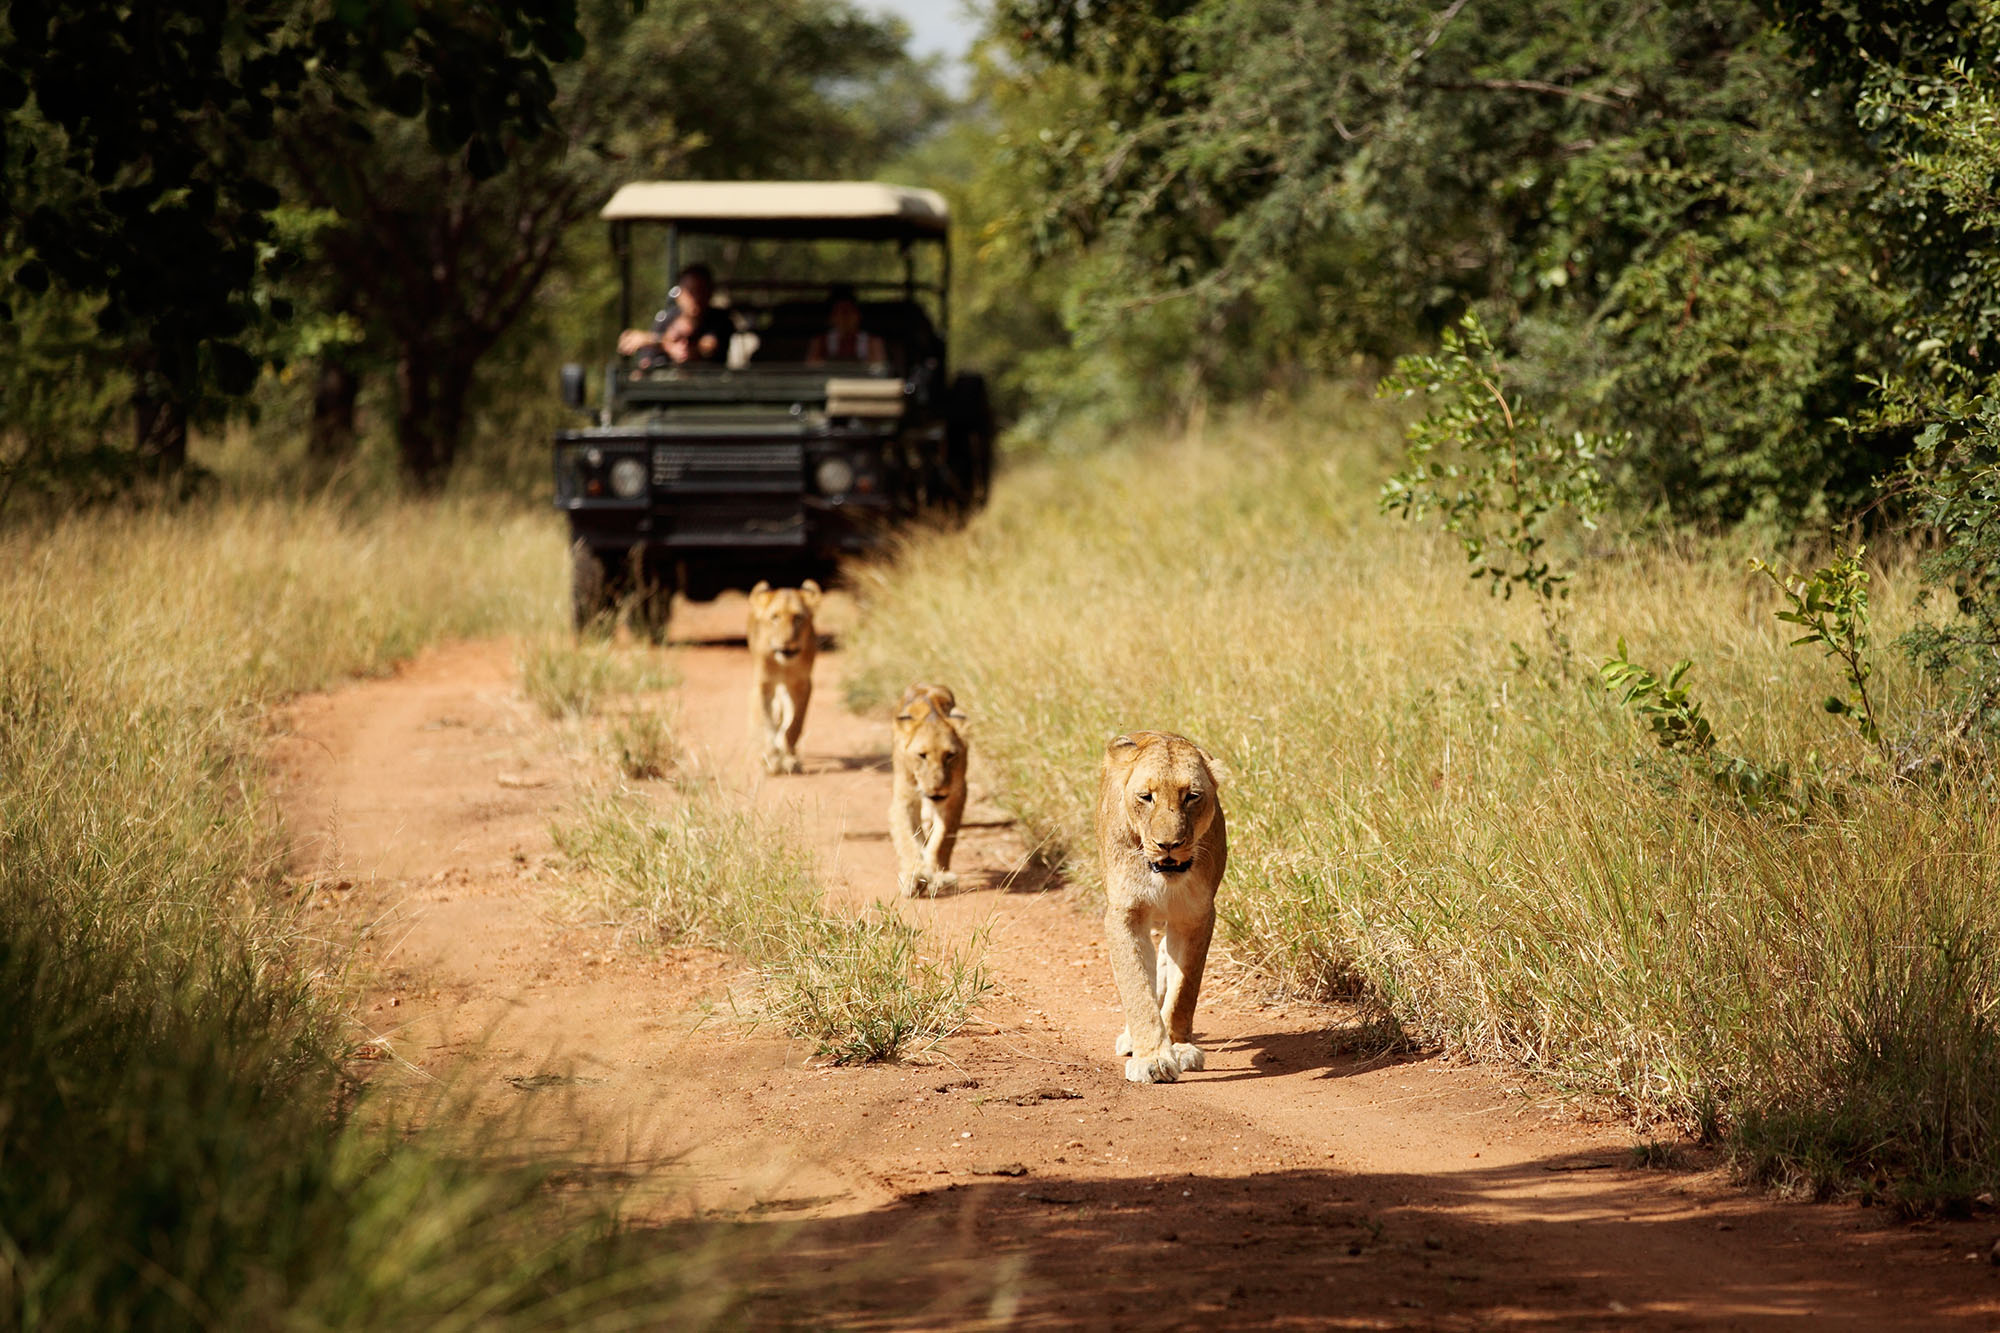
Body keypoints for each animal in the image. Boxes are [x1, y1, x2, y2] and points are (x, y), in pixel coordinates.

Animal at [744, 576, 820, 772]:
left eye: (798, 618)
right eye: (775, 618)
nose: (787, 643)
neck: (784, 665)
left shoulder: (803, 684)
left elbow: (795, 724)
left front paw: (789, 758)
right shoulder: (764, 684)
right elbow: (767, 723)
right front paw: (771, 758)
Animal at [892, 684, 968, 892]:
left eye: (950, 755)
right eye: (922, 755)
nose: (937, 789)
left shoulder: (956, 794)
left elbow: (942, 839)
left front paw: (939, 876)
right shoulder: (905, 796)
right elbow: (907, 838)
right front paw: (913, 876)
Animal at [1104, 728, 1224, 1080]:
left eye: (1192, 796)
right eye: (1146, 797)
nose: (1168, 845)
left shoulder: (1196, 915)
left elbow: (1184, 989)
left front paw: (1179, 1048)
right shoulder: (1125, 913)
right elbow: (1136, 987)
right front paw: (1153, 1059)